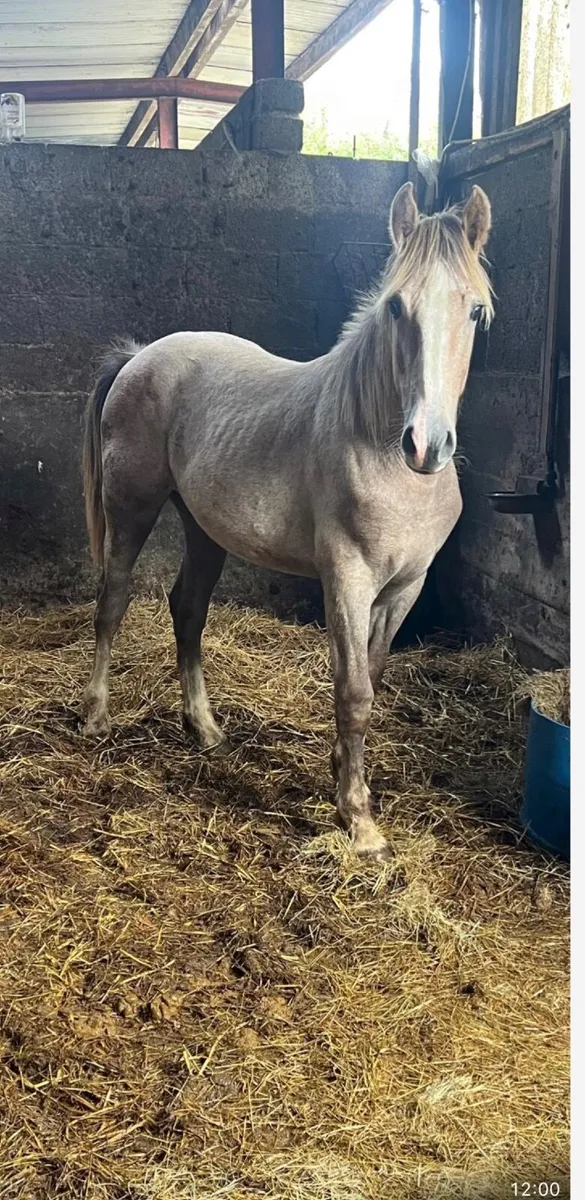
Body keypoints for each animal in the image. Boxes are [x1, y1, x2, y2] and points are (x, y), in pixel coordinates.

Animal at [82, 181, 493, 859]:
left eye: (475, 311)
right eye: (396, 307)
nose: (427, 445)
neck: (383, 452)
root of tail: (141, 357)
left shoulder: (404, 588)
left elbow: (371, 678)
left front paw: (345, 781)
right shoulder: (347, 580)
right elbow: (352, 691)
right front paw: (359, 822)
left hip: (204, 529)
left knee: (187, 611)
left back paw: (205, 728)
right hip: (131, 509)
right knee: (112, 601)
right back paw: (94, 714)